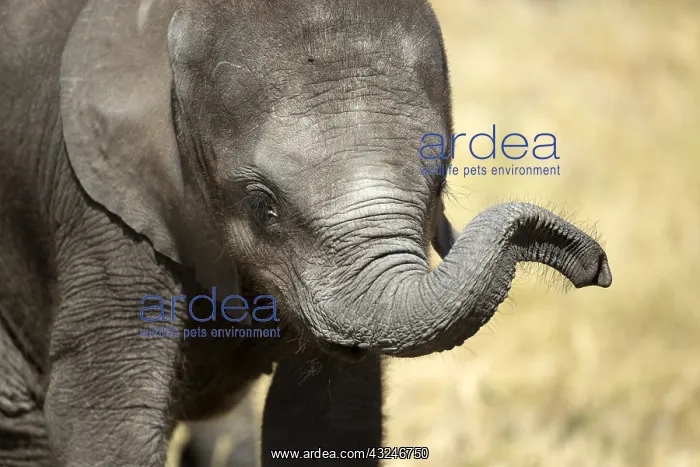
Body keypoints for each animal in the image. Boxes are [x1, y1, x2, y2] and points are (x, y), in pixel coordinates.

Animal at [0, 0, 612, 466]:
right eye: (262, 206)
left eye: (440, 181)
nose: (596, 267)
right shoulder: (99, 214)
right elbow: (105, 414)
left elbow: (329, 417)